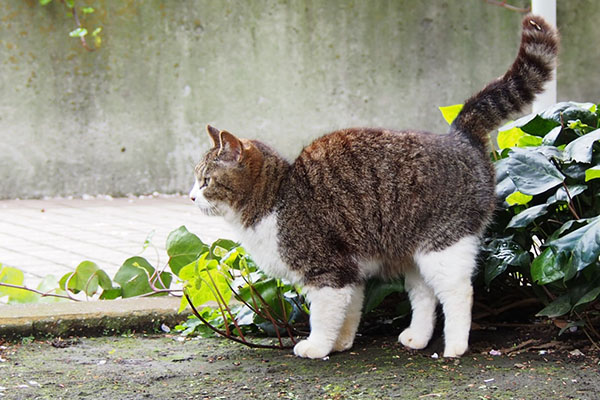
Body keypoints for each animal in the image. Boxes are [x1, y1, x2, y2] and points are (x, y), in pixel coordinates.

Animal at [190, 16, 560, 360]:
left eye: (206, 180)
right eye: (196, 179)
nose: (192, 196)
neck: (276, 198)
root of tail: (460, 134)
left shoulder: (328, 271)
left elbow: (323, 317)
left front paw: (317, 347)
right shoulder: (350, 272)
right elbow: (350, 312)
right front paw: (341, 343)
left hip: (442, 245)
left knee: (458, 292)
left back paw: (455, 346)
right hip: (413, 254)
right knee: (424, 297)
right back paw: (417, 338)